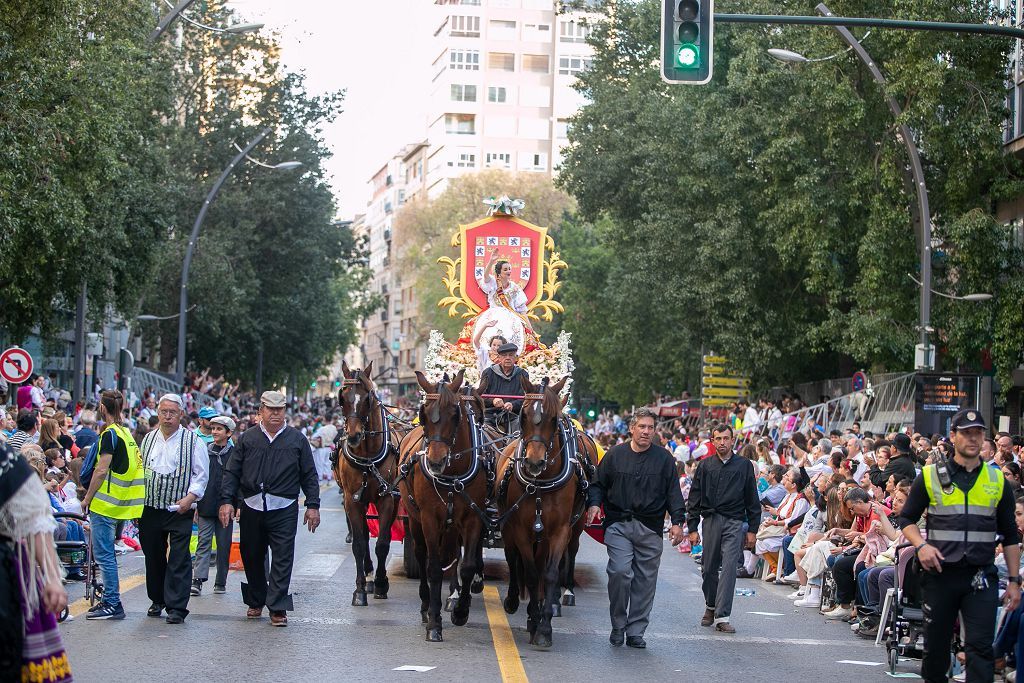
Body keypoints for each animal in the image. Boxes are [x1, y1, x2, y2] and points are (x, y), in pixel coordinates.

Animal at [333, 360, 401, 606]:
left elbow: (382, 543)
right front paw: (360, 589)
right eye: (342, 397)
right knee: (361, 533)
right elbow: (360, 544)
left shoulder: (387, 499)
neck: (368, 457)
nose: (353, 436)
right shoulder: (352, 500)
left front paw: (381, 583)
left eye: (368, 397)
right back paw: (369, 575)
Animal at [397, 370, 489, 643]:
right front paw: (434, 623)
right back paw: (427, 605)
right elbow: (434, 568)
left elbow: (467, 565)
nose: (436, 461)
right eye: (424, 413)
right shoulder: (430, 518)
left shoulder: (472, 518)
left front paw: (461, 611)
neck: (452, 473)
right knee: (422, 555)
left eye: (455, 414)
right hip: (415, 519)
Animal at [493, 376, 593, 651]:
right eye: (524, 414)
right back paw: (515, 602)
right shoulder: (521, 530)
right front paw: (535, 617)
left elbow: (548, 574)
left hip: (568, 529)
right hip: (509, 527)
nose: (534, 463)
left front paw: (544, 627)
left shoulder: (559, 531)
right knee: (513, 559)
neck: (540, 483)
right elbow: (529, 571)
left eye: (554, 418)